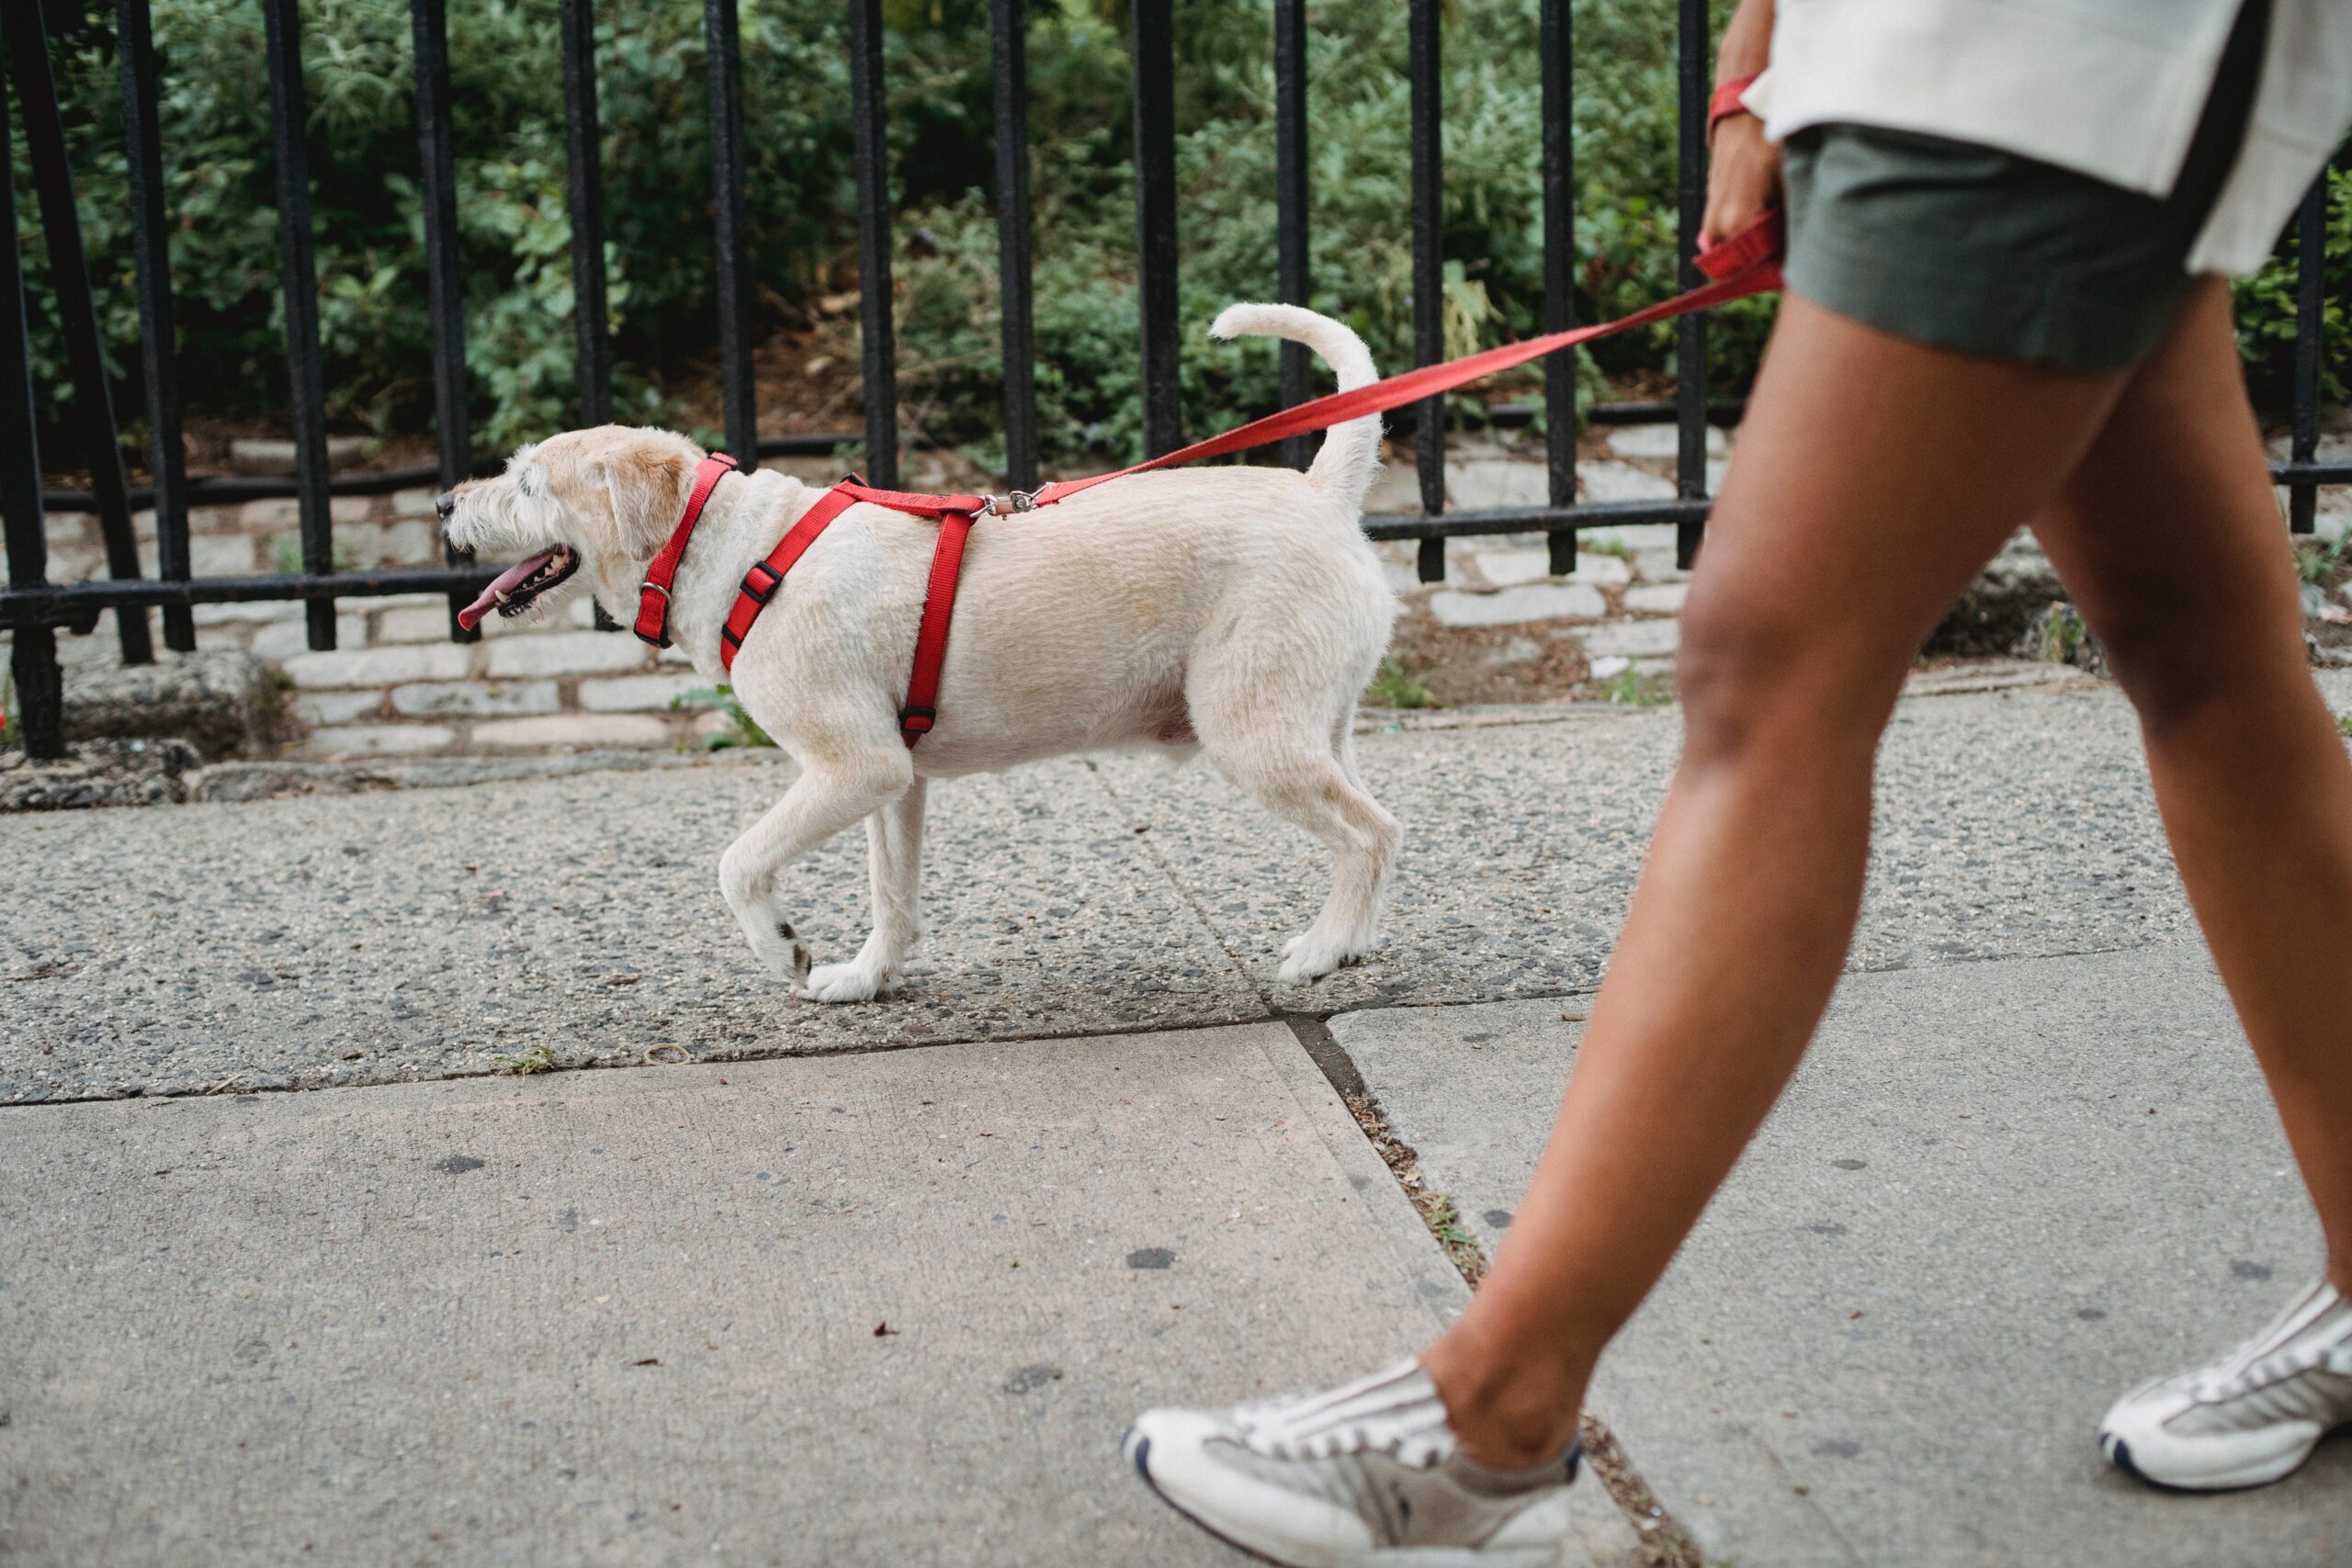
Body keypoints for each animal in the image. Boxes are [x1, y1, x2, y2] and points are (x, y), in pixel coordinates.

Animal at [442, 300, 1392, 1001]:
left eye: (528, 482)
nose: (446, 505)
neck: (738, 546)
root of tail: (1323, 492)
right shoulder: (893, 784)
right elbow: (891, 893)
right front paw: (866, 979)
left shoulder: (853, 767)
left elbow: (738, 861)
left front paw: (781, 949)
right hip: (1319, 726)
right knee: (1373, 828)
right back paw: (1349, 942)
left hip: (1255, 732)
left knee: (1371, 832)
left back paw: (1321, 951)